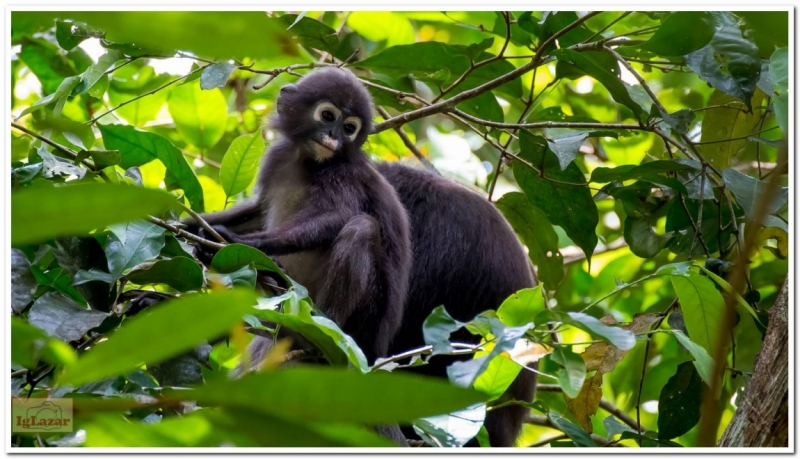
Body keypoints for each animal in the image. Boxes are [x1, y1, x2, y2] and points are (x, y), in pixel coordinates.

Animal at [187, 68, 536, 450]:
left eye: (349, 127)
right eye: (326, 116)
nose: (333, 136)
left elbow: (336, 218)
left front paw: (244, 246)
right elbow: (257, 213)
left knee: (361, 230)